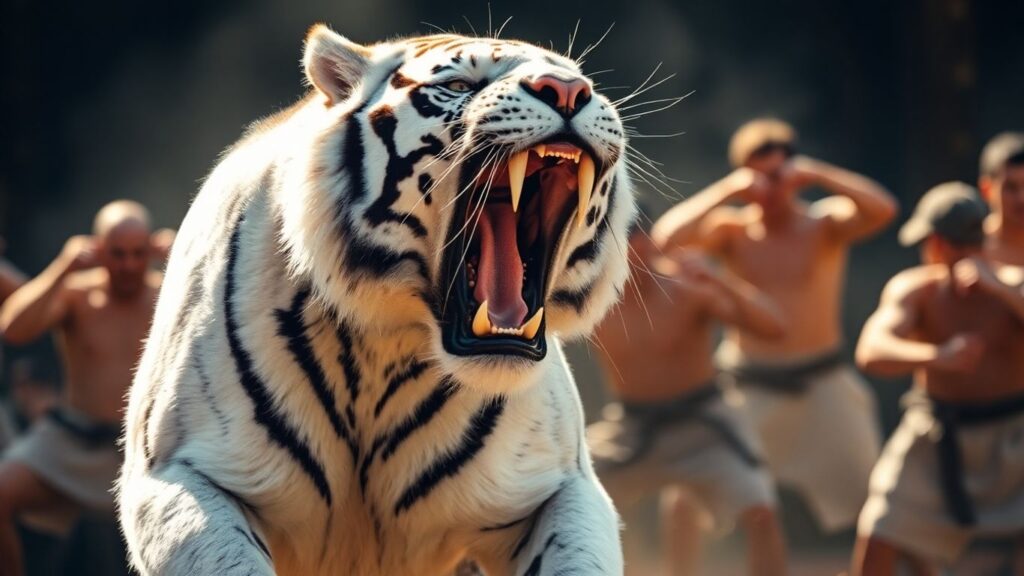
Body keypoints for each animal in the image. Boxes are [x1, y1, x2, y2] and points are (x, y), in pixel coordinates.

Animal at [117, 23, 637, 576]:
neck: (389, 345)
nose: (567, 91)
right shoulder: (181, 474)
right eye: (458, 84)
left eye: (583, 84)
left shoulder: (559, 488)